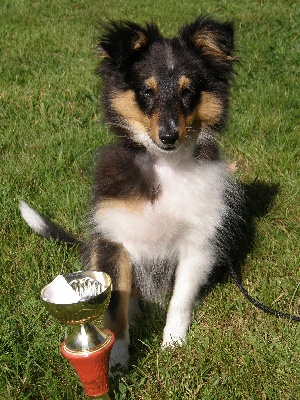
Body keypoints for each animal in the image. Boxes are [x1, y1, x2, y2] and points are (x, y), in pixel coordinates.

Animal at [19, 15, 244, 372]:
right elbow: (115, 308)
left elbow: (180, 299)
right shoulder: (115, 240)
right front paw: (116, 359)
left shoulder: (197, 242)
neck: (165, 165)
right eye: (146, 91)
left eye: (189, 91)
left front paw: (173, 345)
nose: (168, 136)